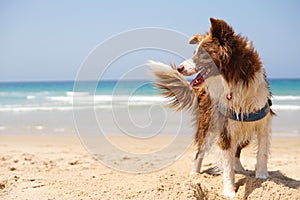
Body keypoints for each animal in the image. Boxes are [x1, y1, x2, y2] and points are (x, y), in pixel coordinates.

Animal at [150, 17, 274, 198]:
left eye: (202, 54)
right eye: (194, 52)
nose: (179, 68)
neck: (234, 79)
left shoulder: (262, 121)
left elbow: (262, 151)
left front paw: (262, 175)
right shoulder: (224, 128)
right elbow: (227, 166)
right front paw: (229, 191)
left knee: (237, 150)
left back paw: (240, 168)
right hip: (208, 125)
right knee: (200, 151)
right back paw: (195, 173)